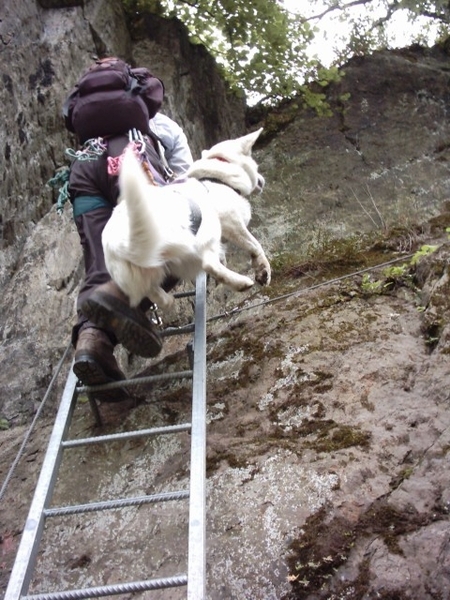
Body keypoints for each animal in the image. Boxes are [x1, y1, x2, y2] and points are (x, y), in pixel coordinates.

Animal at [102, 127, 270, 310]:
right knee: (208, 264)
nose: (263, 180)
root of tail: (122, 243)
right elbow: (254, 245)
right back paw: (241, 283)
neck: (218, 177)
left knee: (155, 294)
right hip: (205, 230)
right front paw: (263, 269)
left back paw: (168, 300)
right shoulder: (230, 221)